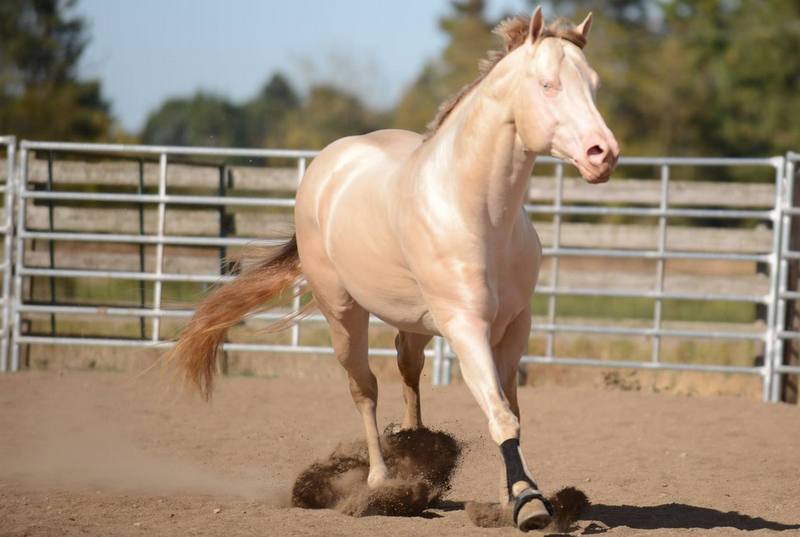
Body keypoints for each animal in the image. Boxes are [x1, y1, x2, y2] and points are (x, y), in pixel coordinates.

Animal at [167, 8, 620, 532]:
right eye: (548, 84)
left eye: (594, 84)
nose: (603, 153)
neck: (479, 213)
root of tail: (326, 167)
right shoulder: (466, 328)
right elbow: (500, 414)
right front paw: (528, 505)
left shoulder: (514, 327)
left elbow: (512, 411)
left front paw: (515, 497)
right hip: (343, 315)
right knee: (364, 388)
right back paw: (383, 483)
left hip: (415, 323)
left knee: (408, 369)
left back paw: (419, 451)